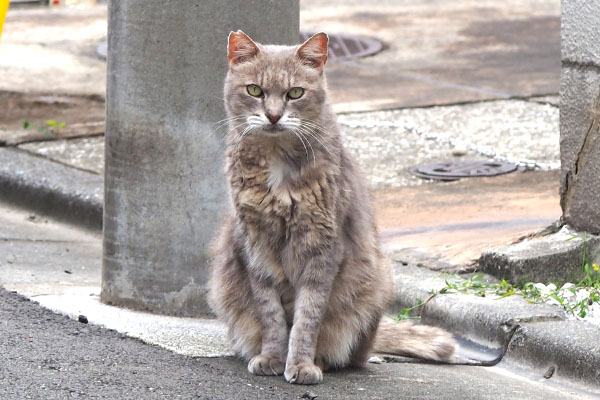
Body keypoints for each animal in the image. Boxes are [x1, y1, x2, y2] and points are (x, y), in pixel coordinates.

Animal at [206, 29, 454, 386]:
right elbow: (271, 314)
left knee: (351, 354)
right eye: (255, 90)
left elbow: (308, 316)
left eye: (295, 93)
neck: (278, 163)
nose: (273, 115)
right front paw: (272, 357)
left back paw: (323, 359)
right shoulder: (256, 247)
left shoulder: (323, 248)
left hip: (375, 283)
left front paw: (300, 364)